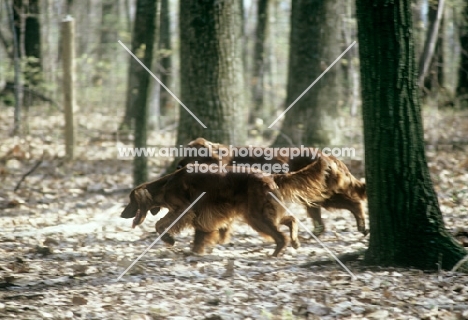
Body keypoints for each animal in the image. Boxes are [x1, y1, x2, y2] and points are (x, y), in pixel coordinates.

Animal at [120, 165, 302, 258]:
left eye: (131, 200)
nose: (121, 214)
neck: (166, 185)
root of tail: (270, 177)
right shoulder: (201, 214)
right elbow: (200, 233)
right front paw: (196, 251)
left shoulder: (184, 209)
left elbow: (159, 224)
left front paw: (169, 240)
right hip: (260, 213)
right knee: (290, 219)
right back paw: (295, 241)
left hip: (256, 216)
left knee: (281, 235)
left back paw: (276, 253)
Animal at [174, 138, 368, 235]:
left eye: (191, 153)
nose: (178, 165)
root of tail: (326, 155)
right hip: (313, 196)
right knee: (322, 220)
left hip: (323, 194)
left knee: (355, 202)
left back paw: (361, 226)